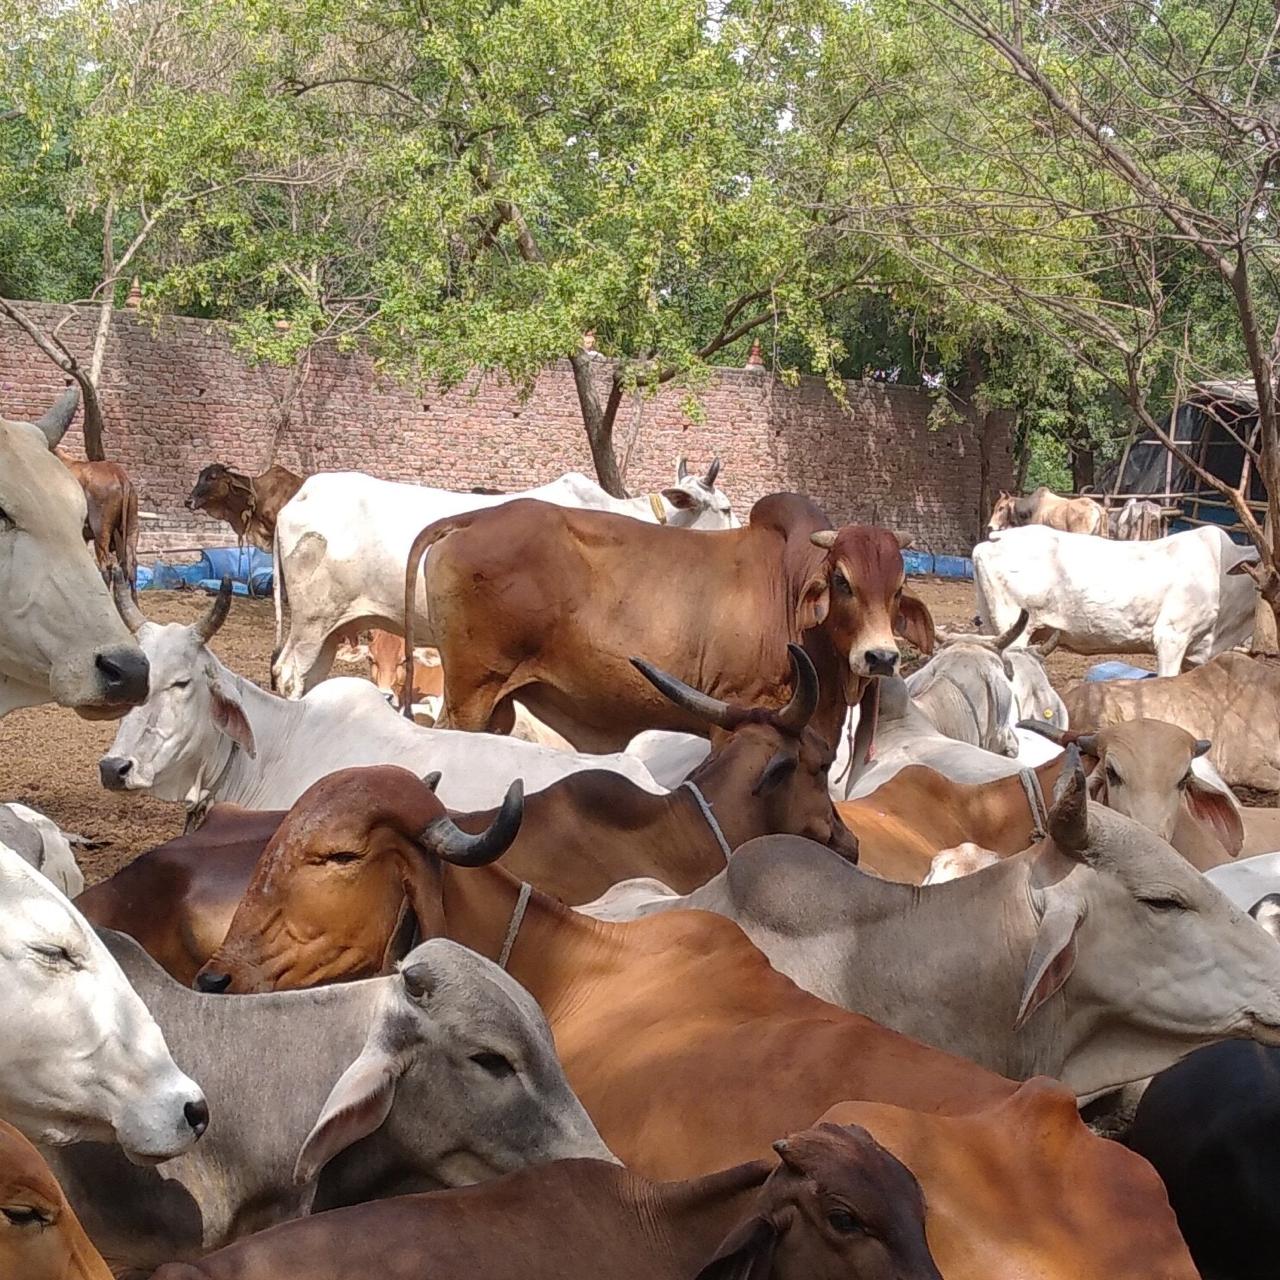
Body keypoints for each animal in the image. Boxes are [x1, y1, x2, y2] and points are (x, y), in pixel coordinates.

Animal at [406, 493, 935, 752]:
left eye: (899, 587)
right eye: (843, 581)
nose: (881, 657)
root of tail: (471, 518)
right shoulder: (734, 712)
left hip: (497, 701)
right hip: (472, 690)